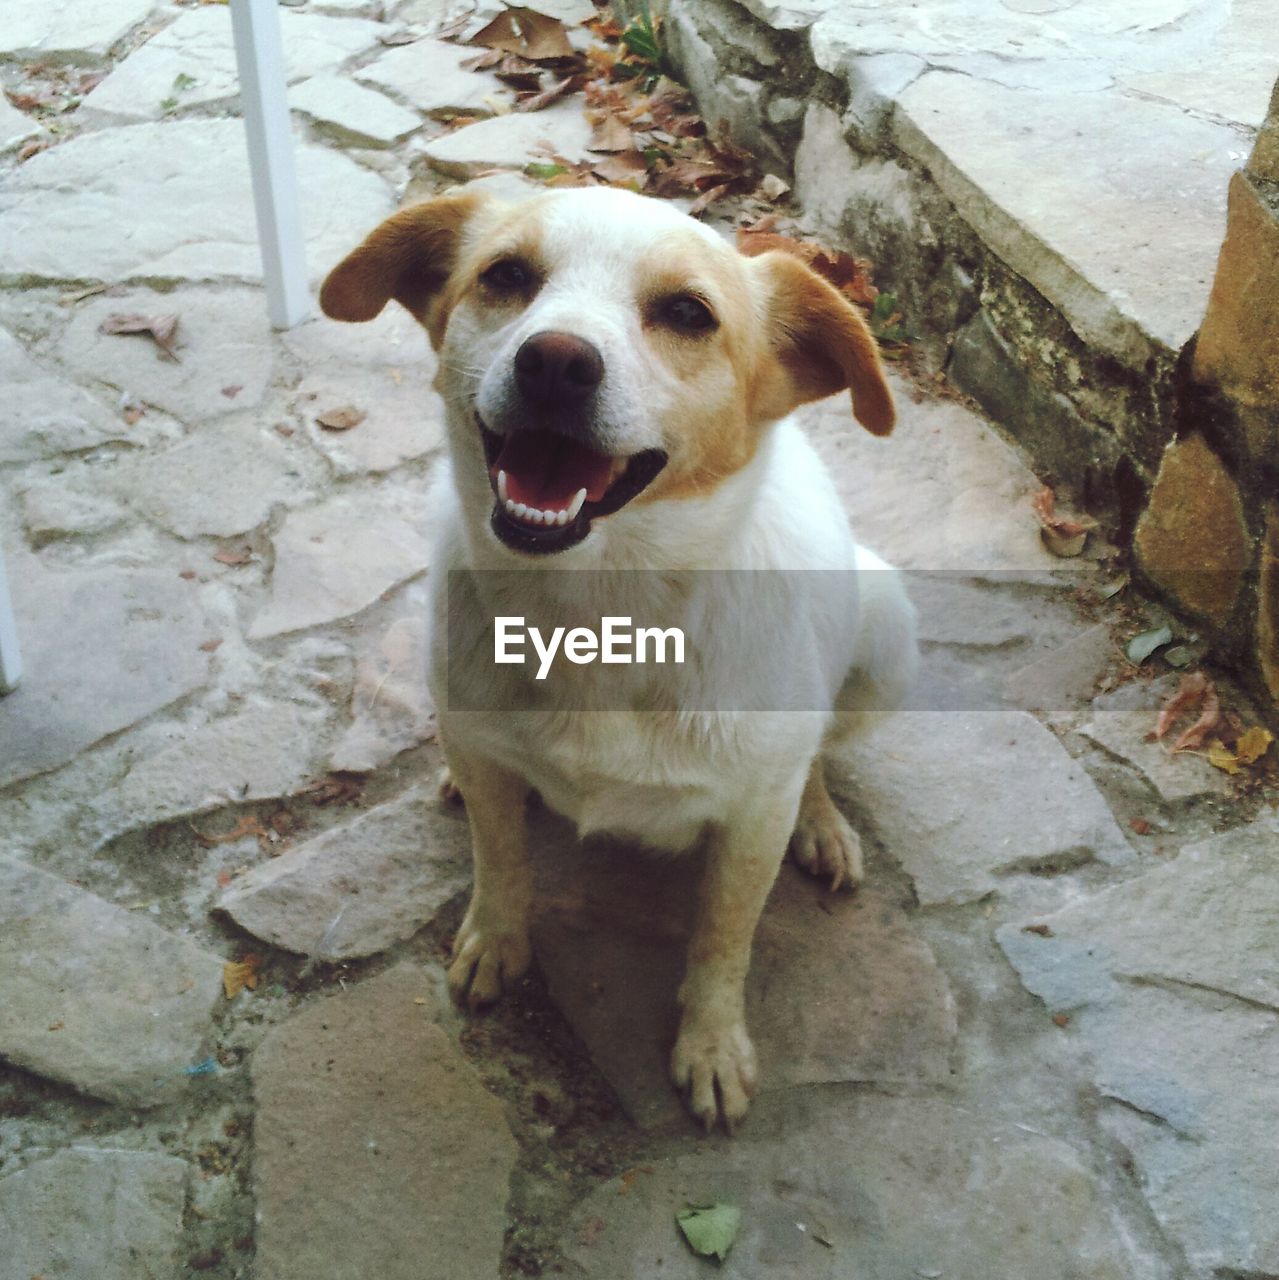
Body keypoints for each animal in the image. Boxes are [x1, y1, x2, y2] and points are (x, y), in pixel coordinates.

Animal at [322, 189, 921, 1131]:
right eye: (505, 275)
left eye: (687, 314)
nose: (554, 363)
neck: (596, 613)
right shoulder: (485, 757)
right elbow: (500, 861)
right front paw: (496, 940)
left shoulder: (749, 825)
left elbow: (722, 938)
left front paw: (710, 1045)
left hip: (887, 629)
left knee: (819, 751)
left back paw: (821, 822)